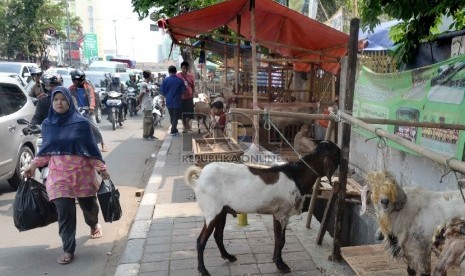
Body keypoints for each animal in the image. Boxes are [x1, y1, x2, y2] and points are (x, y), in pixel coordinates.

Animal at [185, 141, 340, 274]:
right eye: (337, 153)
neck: (296, 175)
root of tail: (199, 180)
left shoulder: (279, 214)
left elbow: (280, 239)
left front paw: (278, 262)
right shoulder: (281, 213)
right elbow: (280, 240)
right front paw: (281, 265)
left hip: (222, 211)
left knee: (218, 235)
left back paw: (228, 257)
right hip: (212, 211)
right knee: (201, 240)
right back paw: (203, 270)